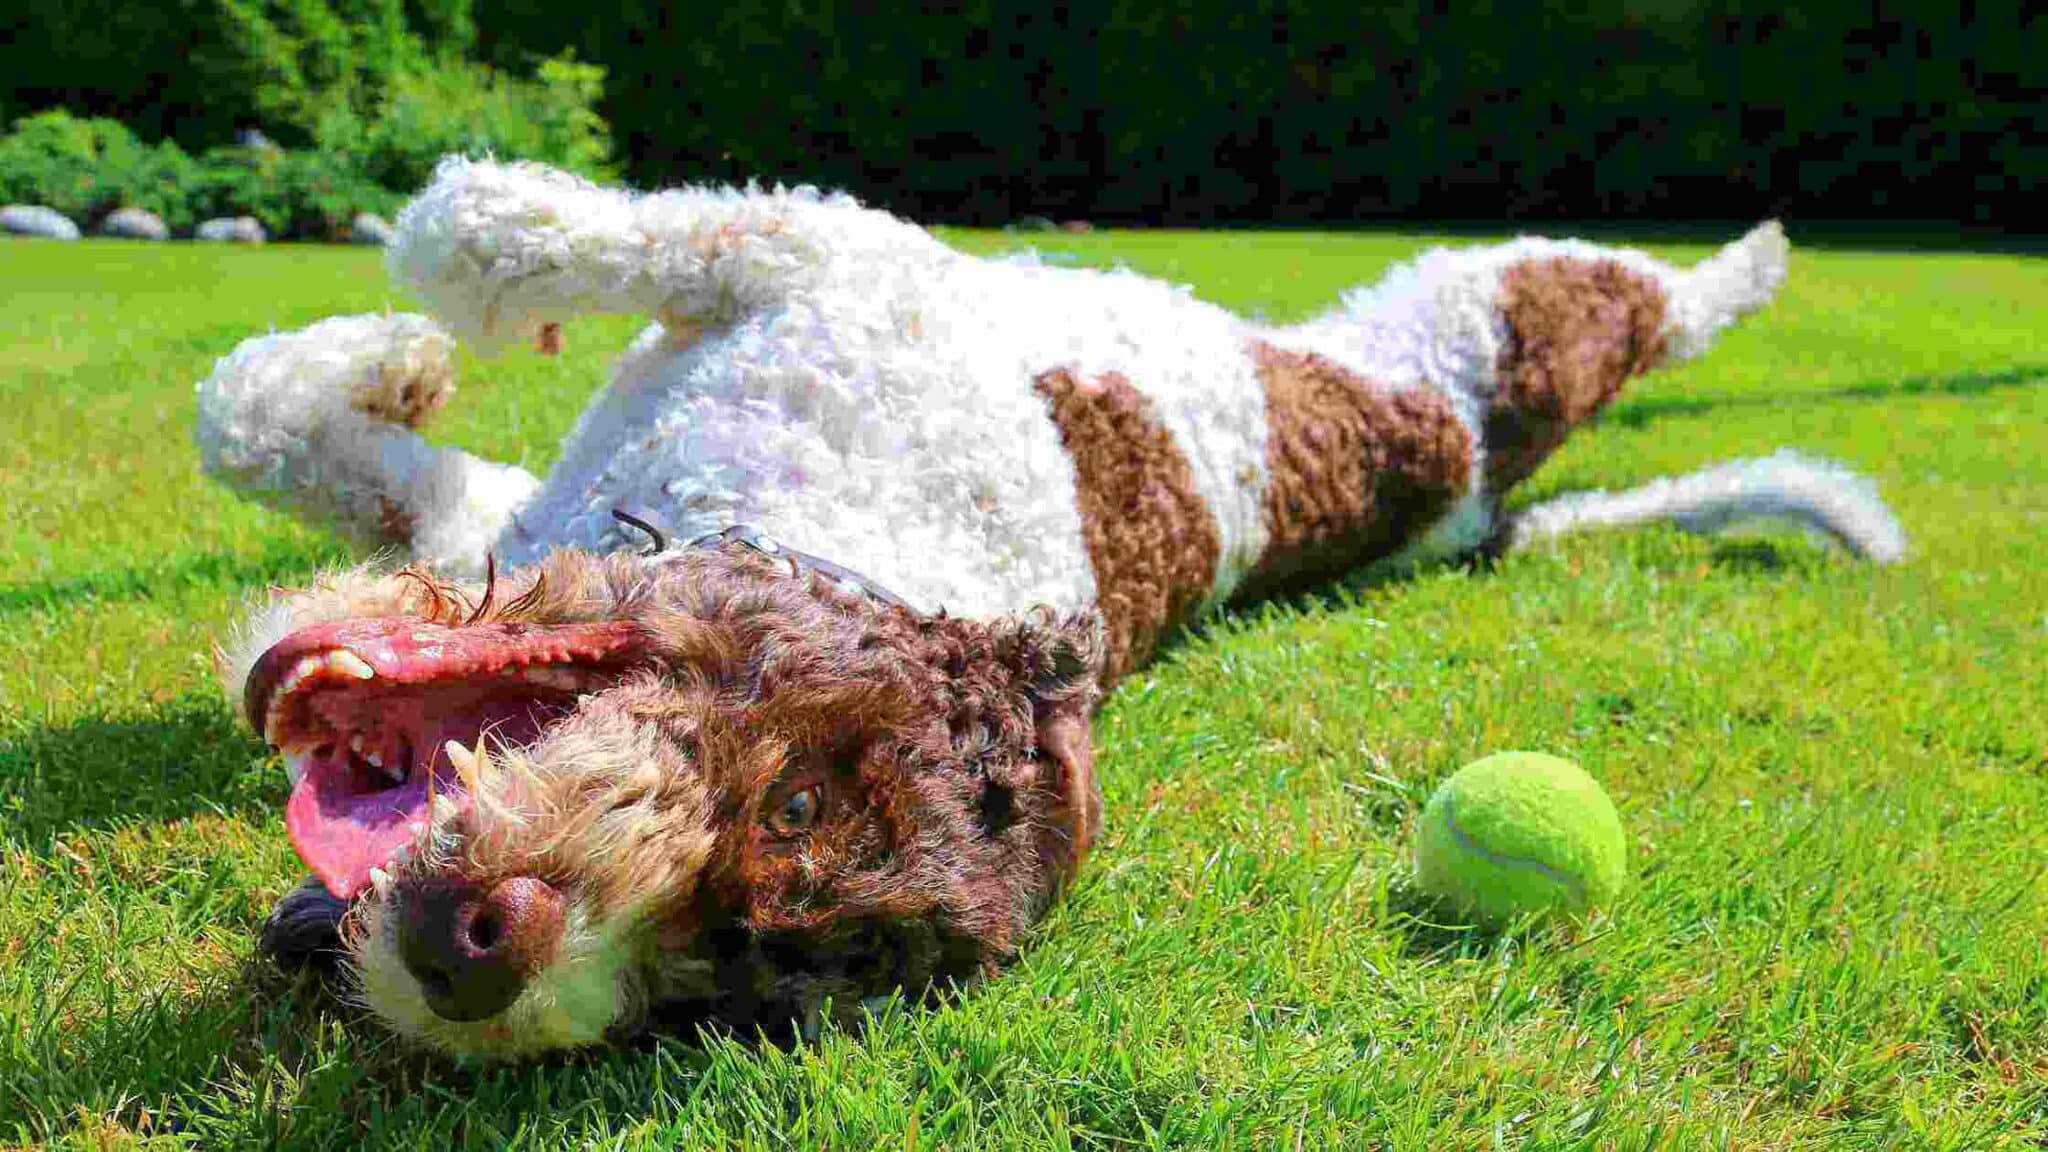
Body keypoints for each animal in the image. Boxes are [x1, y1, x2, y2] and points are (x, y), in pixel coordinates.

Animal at [192, 156, 1900, 1057]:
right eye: (801, 796)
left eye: (721, 978)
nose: (485, 955)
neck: (846, 526)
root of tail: (1480, 488)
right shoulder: (799, 270)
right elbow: (306, 389)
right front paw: (399, 353)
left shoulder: (806, 251)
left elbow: (470, 252)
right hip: (1445, 324)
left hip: (1515, 322)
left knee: (1652, 301)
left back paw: (1759, 254)